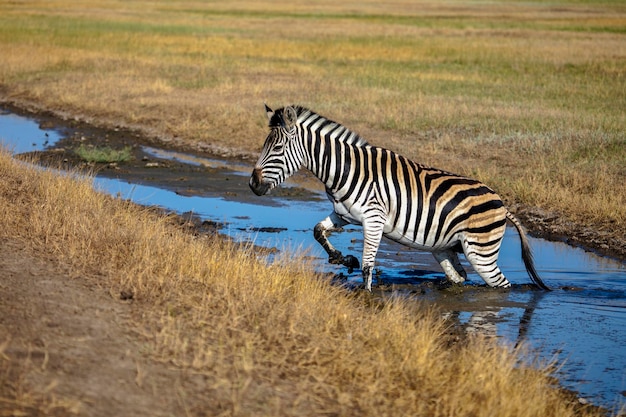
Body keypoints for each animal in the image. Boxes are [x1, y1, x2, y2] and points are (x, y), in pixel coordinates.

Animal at [246, 104, 548, 290]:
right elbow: (318, 231)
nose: (253, 184)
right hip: (444, 247)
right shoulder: (342, 215)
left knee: (501, 286)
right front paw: (344, 259)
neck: (342, 169)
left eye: (278, 148)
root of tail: (502, 205)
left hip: (480, 251)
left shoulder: (373, 220)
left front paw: (365, 295)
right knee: (459, 276)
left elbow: (368, 266)